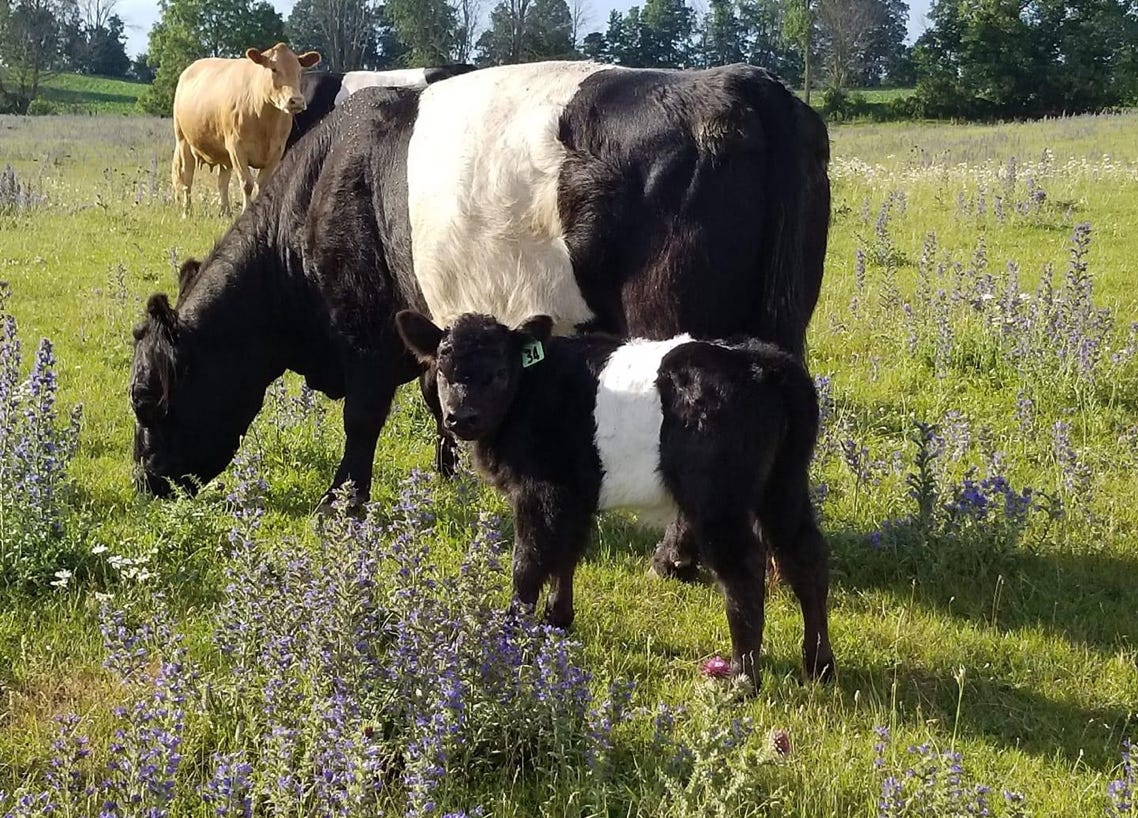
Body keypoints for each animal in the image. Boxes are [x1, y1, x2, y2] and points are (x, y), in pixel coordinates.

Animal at [172, 43, 321, 216]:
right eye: (274, 69)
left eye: (299, 71)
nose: (296, 101)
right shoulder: (237, 148)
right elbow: (247, 183)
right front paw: (245, 211)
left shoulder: (277, 150)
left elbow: (261, 184)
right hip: (183, 141)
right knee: (186, 178)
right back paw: (187, 212)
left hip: (222, 152)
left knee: (222, 181)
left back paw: (225, 212)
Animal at [394, 309, 835, 688]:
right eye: (443, 370)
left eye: (500, 372)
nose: (461, 417)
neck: (530, 391)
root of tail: (765, 362)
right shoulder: (572, 493)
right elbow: (567, 554)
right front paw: (557, 620)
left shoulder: (540, 490)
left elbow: (529, 562)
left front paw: (510, 634)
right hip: (785, 483)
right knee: (805, 555)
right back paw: (819, 665)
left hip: (718, 499)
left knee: (743, 571)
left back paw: (743, 678)